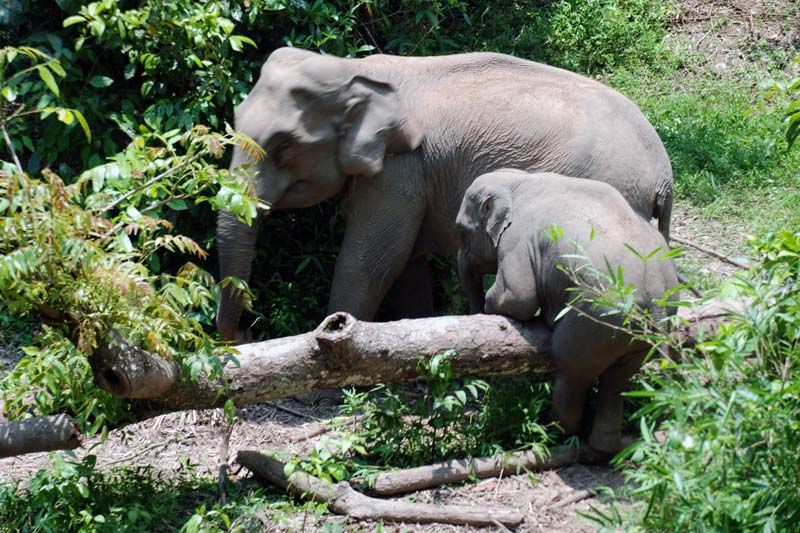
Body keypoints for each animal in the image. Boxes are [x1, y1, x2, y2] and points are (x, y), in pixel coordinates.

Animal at [216, 48, 672, 340]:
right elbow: (404, 263)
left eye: (284, 145)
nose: (245, 333)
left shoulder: (399, 170)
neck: (354, 69)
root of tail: (665, 174)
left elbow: (373, 260)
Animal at [460, 170, 680, 454]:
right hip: (637, 334)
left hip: (595, 319)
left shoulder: (516, 240)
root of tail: (657, 299)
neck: (518, 180)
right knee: (617, 381)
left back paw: (555, 433)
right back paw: (603, 445)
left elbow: (519, 298)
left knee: (571, 370)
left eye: (461, 230)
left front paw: (492, 307)